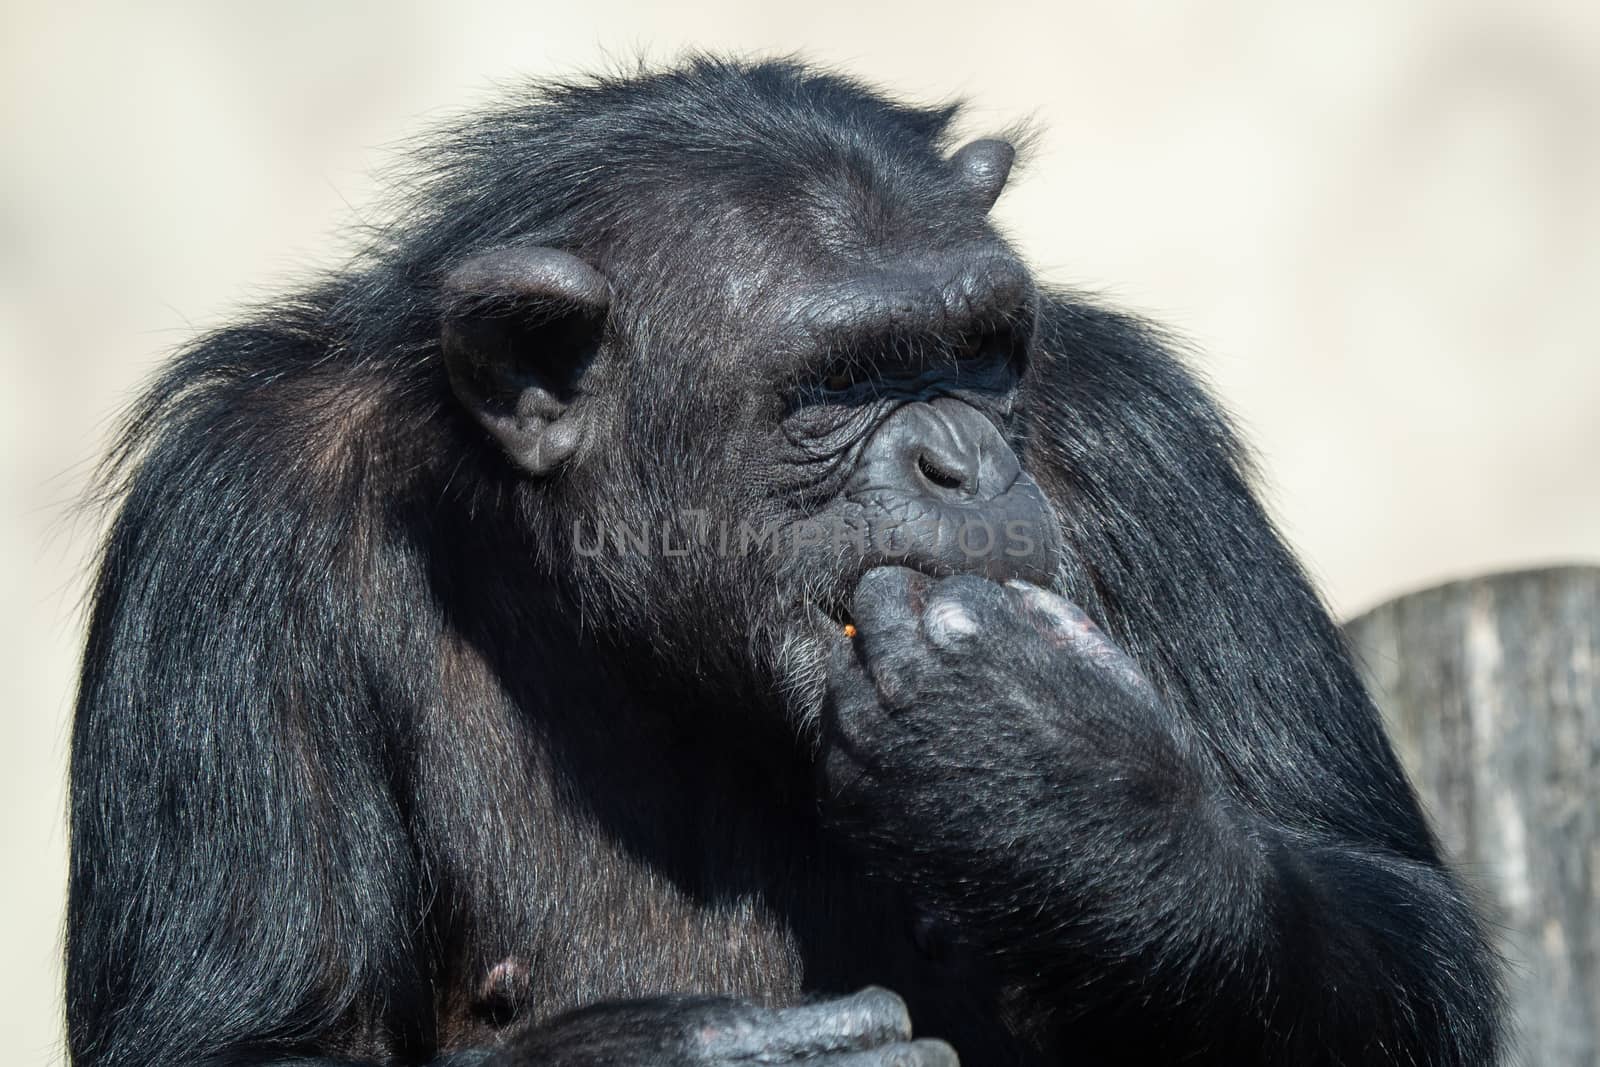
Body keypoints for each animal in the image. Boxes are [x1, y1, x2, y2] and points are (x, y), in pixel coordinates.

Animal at [68, 56, 1504, 1067]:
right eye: (836, 384)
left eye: (982, 346)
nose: (960, 457)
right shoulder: (231, 524)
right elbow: (245, 1032)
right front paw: (674, 1050)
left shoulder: (1147, 449)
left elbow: (1403, 928)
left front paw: (1060, 775)